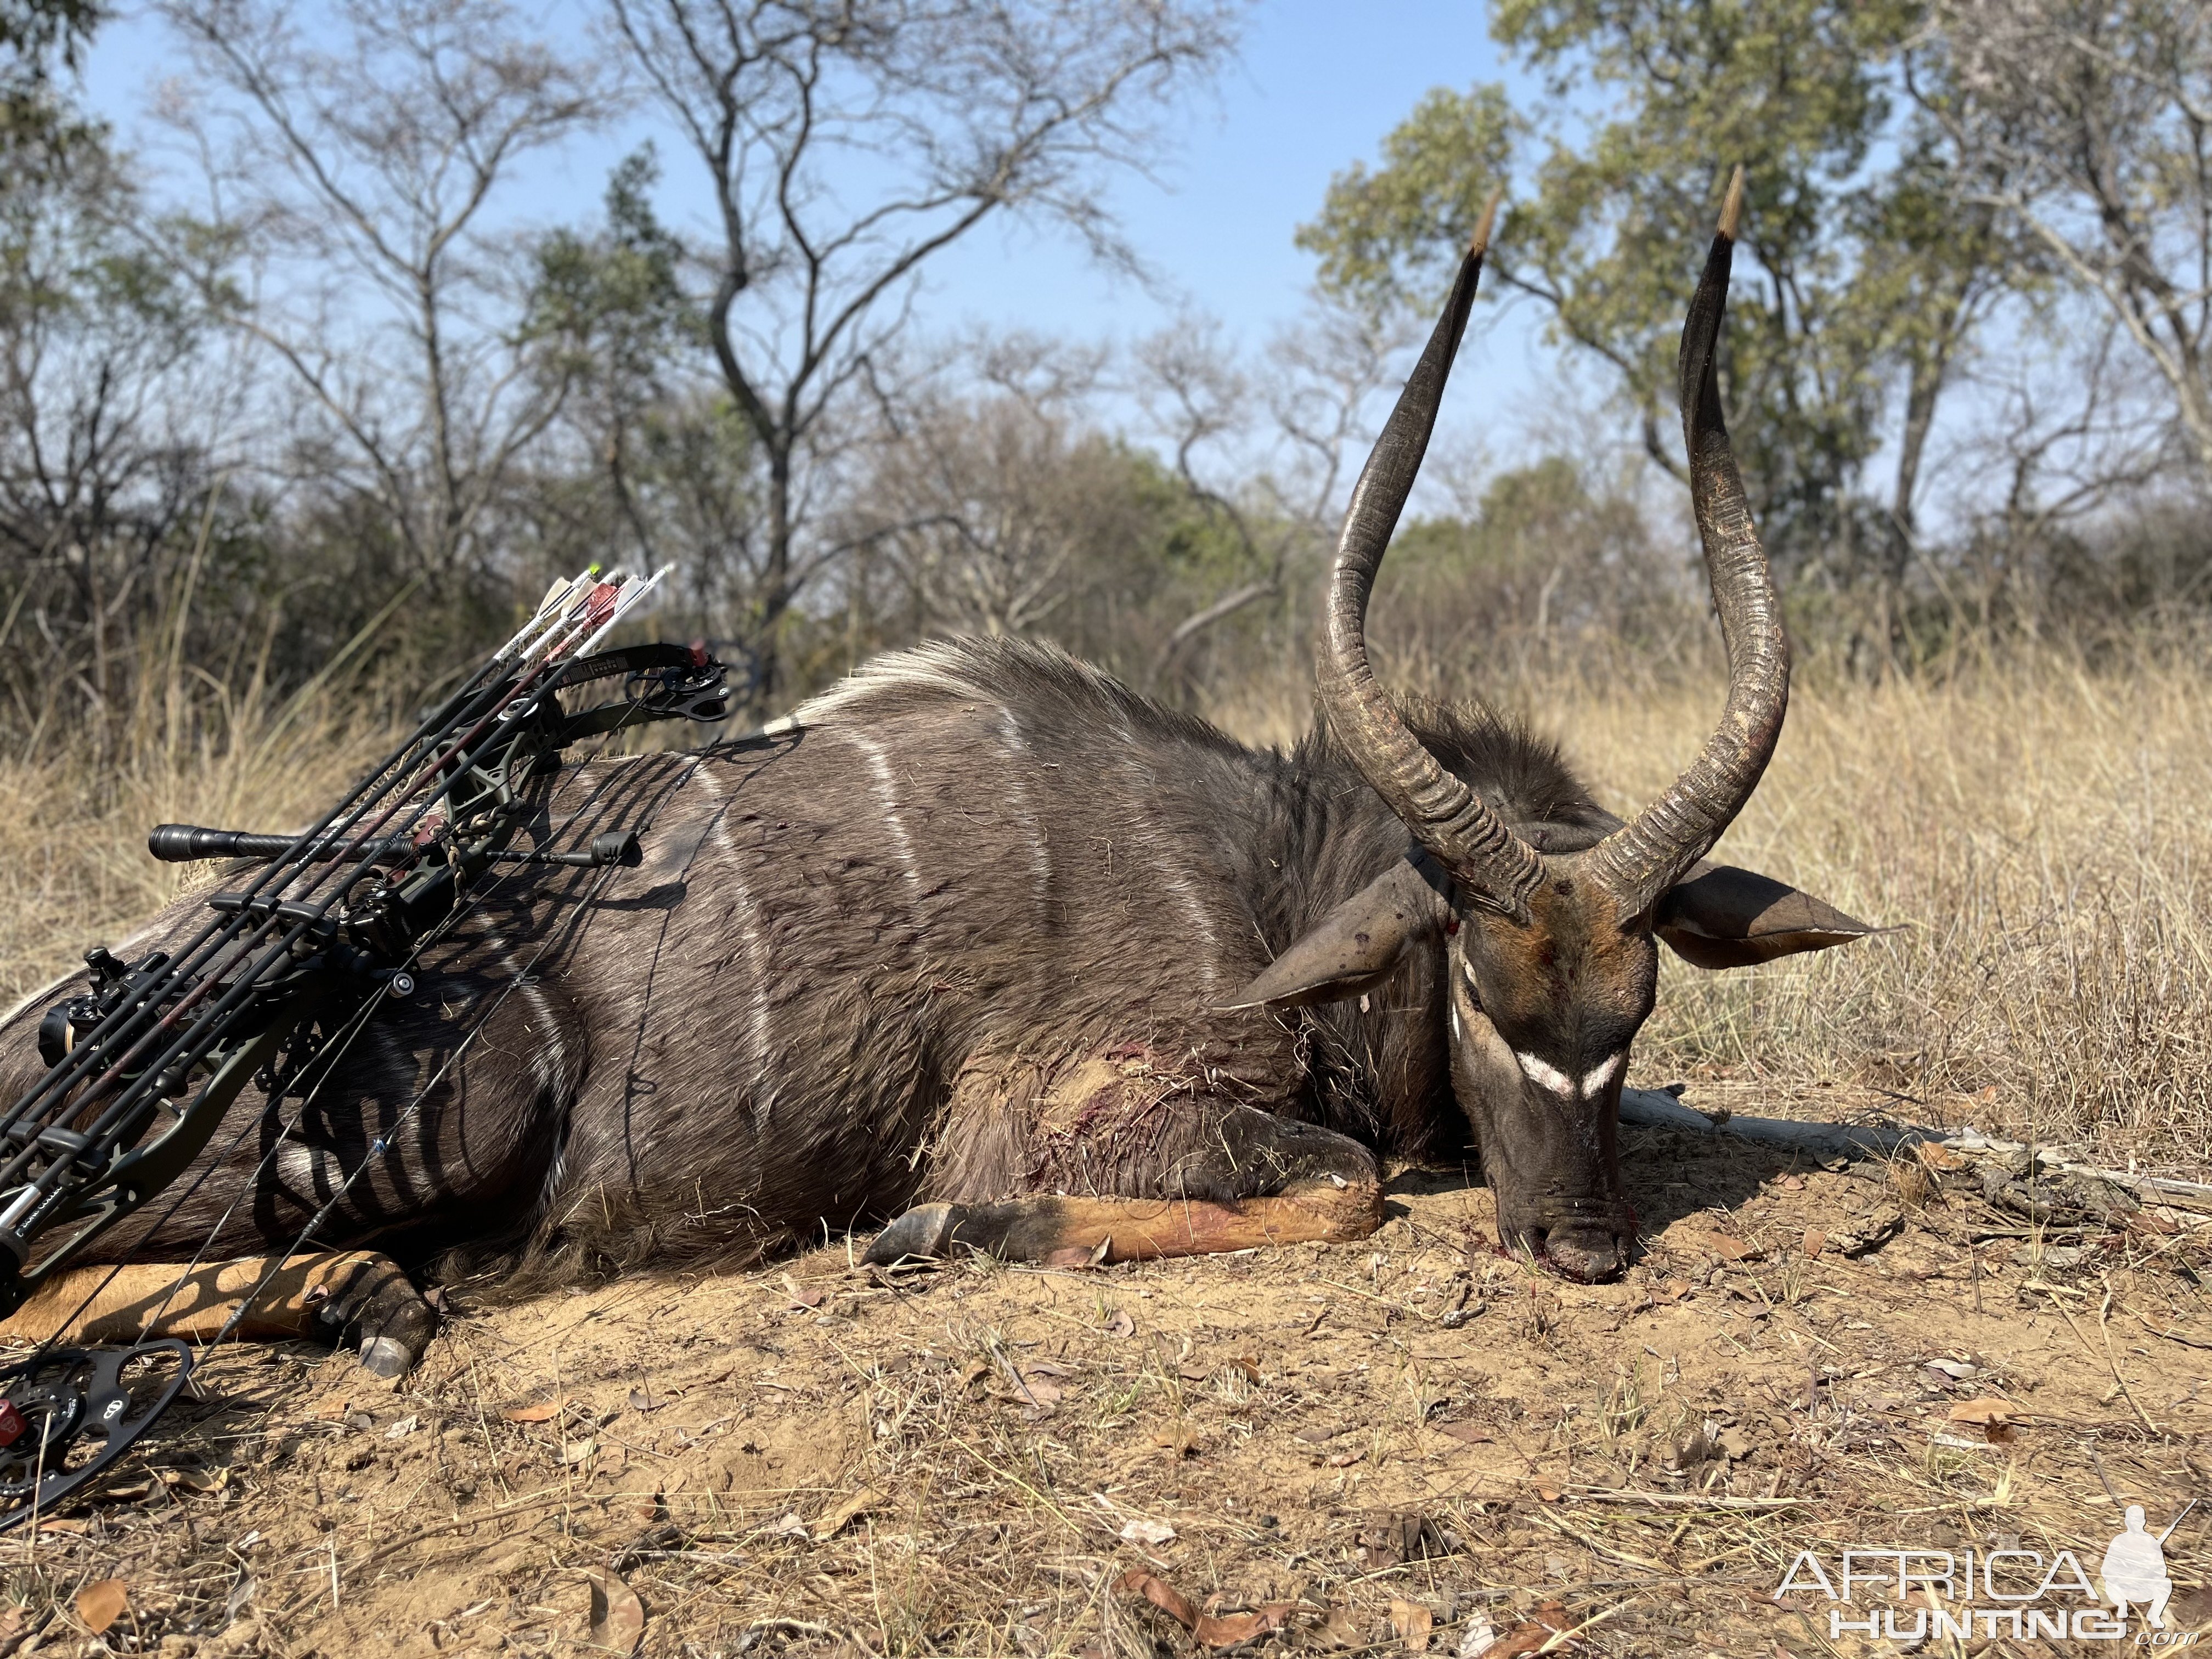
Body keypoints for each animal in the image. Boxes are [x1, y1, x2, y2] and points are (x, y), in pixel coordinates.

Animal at [0, 169, 1867, 1371]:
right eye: (1481, 991)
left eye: (1636, 1012)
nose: (1587, 1247)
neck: (1269, 882)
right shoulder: (1118, 1107)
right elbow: (1341, 1193)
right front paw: (946, 1234)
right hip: (431, 1125)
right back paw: (364, 1305)